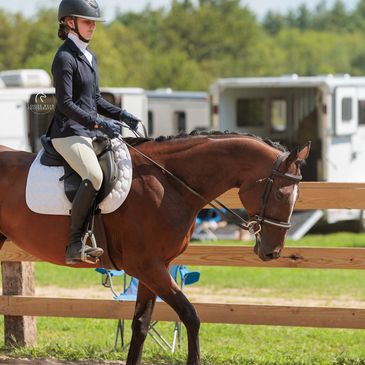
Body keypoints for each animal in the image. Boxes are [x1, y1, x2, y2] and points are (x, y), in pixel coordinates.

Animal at [0, 132, 308, 364]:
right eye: (282, 195)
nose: (272, 252)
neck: (169, 183)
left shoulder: (154, 268)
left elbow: (141, 324)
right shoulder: (147, 266)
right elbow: (190, 316)